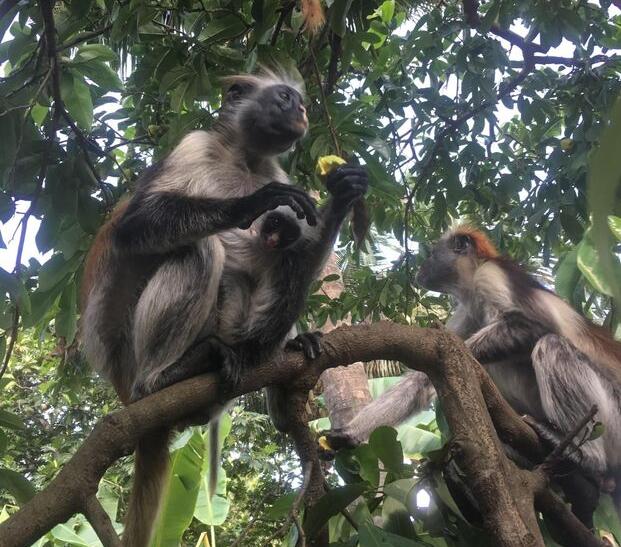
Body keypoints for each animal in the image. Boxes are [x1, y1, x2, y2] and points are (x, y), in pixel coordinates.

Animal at [79, 70, 366, 544]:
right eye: (285, 97)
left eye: (301, 102)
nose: (301, 111)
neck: (245, 160)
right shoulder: (195, 144)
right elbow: (133, 228)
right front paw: (253, 203)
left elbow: (290, 248)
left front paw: (344, 194)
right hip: (129, 352)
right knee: (199, 249)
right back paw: (163, 377)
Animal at [322, 225, 620, 524]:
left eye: (431, 253)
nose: (421, 268)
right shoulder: (468, 310)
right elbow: (423, 379)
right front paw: (349, 433)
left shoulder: (490, 275)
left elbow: (532, 325)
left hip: (613, 417)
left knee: (550, 344)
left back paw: (587, 457)